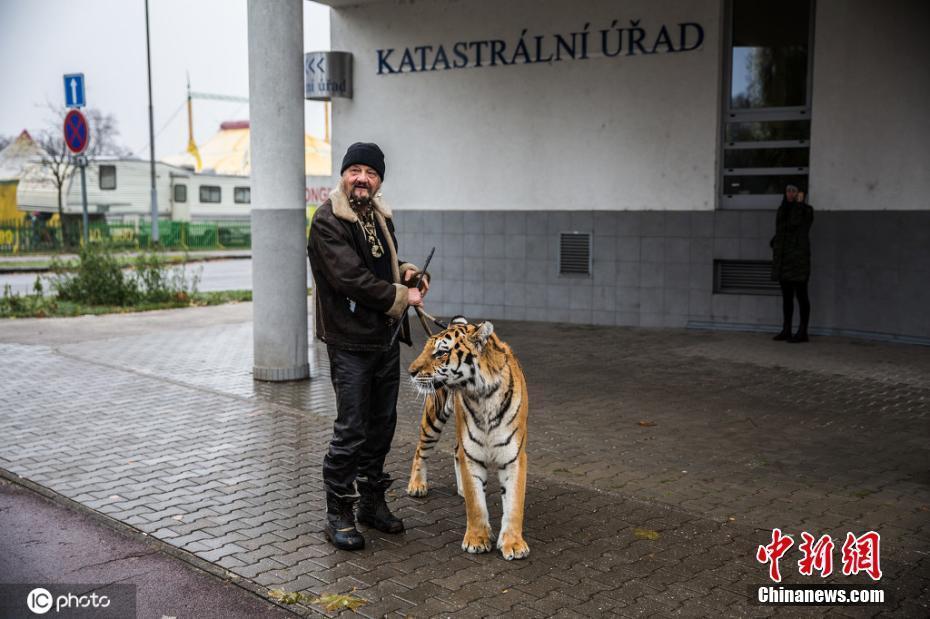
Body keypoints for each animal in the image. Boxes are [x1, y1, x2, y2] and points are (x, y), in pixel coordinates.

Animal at [406, 320, 528, 560]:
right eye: (426, 349)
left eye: (441, 353)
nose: (411, 372)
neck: (483, 396)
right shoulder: (471, 455)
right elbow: (476, 504)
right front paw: (477, 540)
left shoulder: (514, 456)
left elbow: (514, 504)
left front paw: (514, 544)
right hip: (434, 418)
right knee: (420, 451)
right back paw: (416, 485)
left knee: (454, 450)